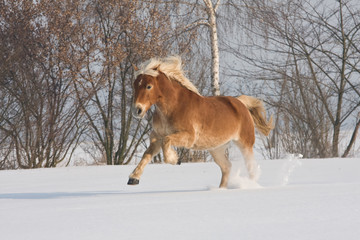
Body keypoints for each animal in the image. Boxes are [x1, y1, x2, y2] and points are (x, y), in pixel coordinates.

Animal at [128, 55, 272, 188]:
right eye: (134, 85)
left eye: (148, 86)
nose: (137, 110)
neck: (174, 107)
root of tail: (241, 102)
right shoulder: (156, 136)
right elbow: (147, 154)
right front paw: (133, 178)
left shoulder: (189, 137)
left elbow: (166, 141)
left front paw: (176, 159)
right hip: (216, 148)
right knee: (227, 166)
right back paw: (221, 190)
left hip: (245, 144)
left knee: (251, 168)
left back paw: (249, 185)